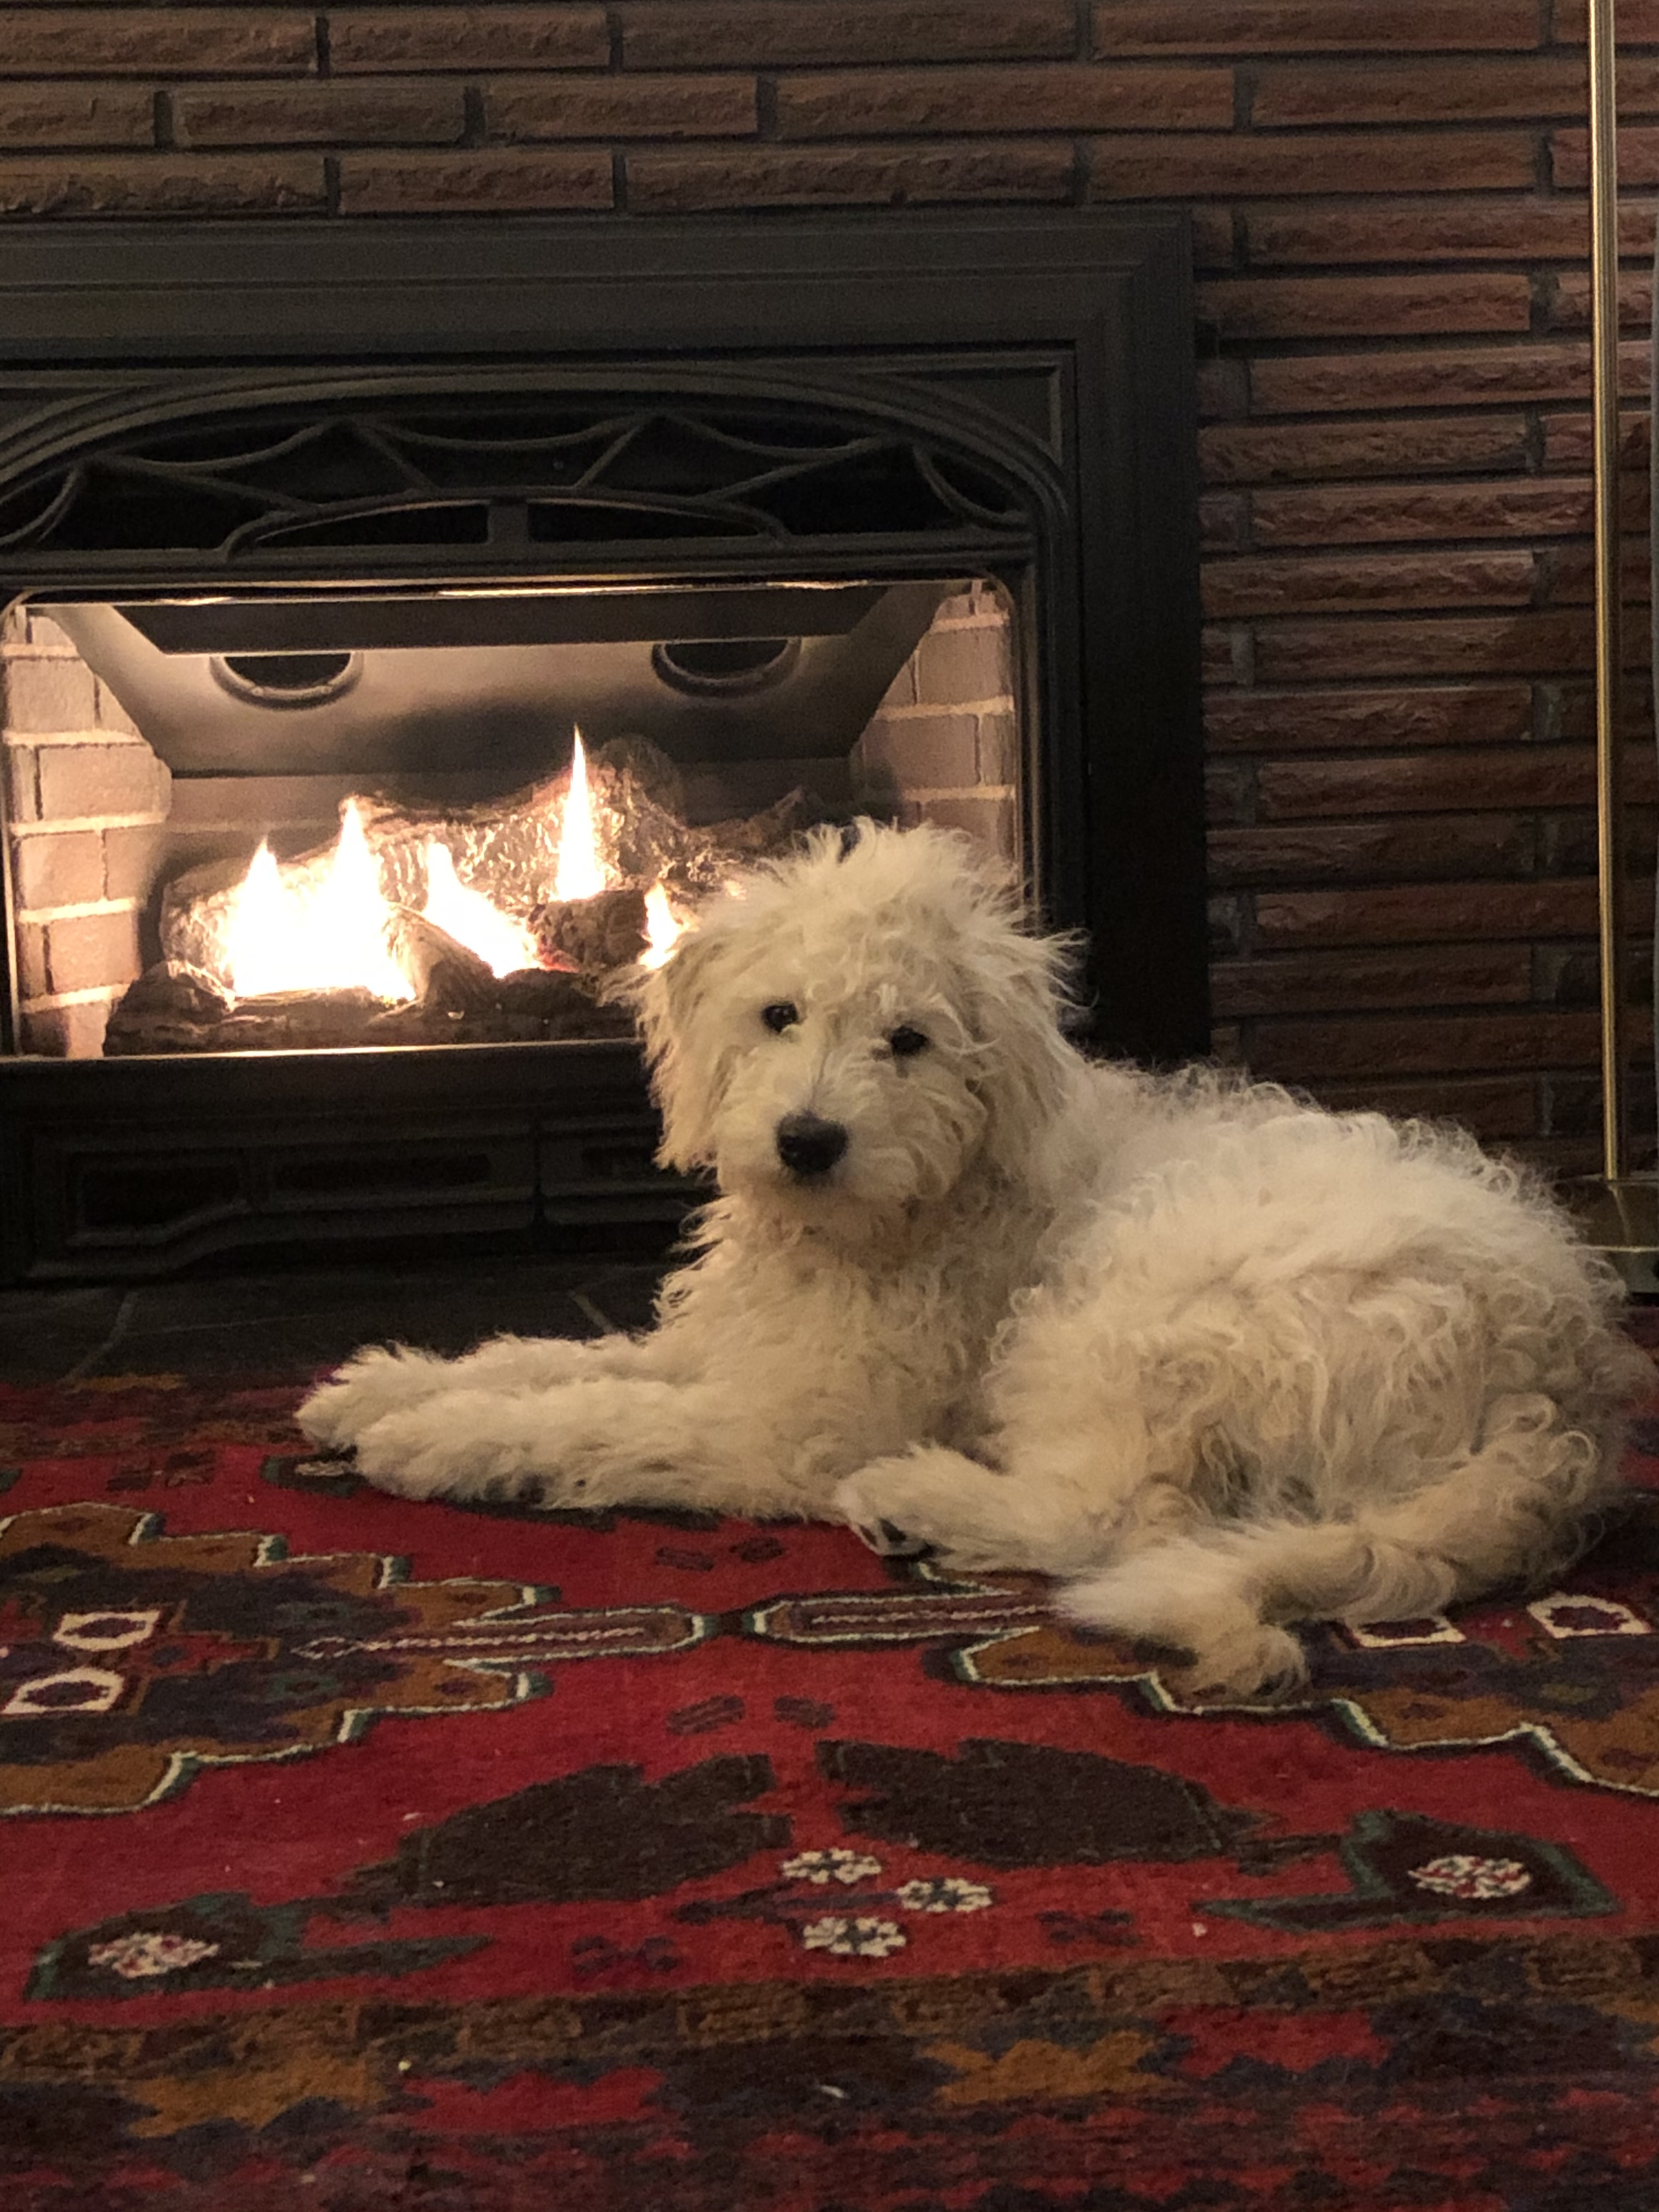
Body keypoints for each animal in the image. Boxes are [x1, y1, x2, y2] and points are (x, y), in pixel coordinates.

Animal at [297, 822, 1650, 1699]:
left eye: (908, 1040)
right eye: (780, 1015)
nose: (808, 1139)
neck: (888, 1224)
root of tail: (1560, 1397)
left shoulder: (798, 1420)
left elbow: (597, 1415)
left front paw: (437, 1438)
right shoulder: (727, 1351)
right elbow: (555, 1357)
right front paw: (383, 1387)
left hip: (1133, 1318)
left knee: (1110, 1515)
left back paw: (916, 1498)